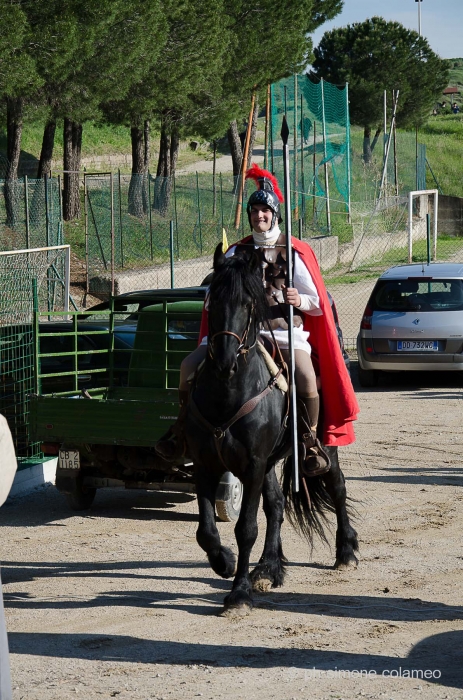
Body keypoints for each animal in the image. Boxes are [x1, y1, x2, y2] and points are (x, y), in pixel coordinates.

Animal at [185, 243, 358, 616]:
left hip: (323, 445)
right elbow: (206, 531)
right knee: (276, 506)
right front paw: (225, 562)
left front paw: (238, 594)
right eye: (212, 301)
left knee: (336, 486)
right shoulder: (207, 463)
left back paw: (346, 552)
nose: (224, 361)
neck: (228, 394)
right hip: (267, 464)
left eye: (249, 304)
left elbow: (246, 528)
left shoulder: (252, 465)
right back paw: (268, 568)